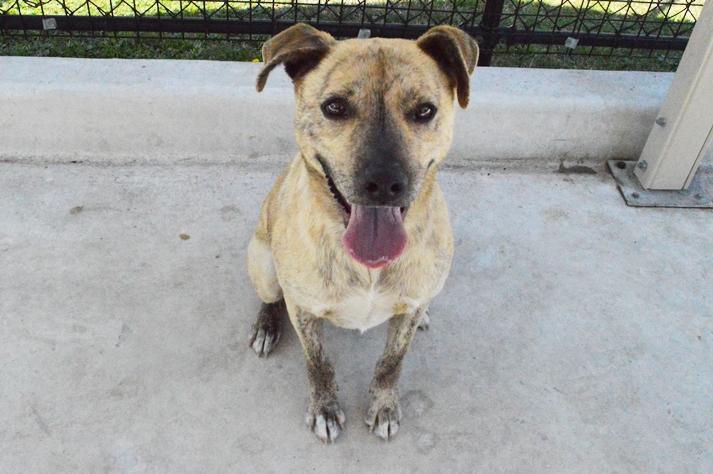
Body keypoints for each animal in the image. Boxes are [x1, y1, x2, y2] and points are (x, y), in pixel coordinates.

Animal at [247, 23, 478, 443]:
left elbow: (392, 361)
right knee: (271, 297)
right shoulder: (303, 309)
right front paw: (323, 408)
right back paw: (265, 325)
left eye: (425, 110)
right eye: (334, 107)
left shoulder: (405, 316)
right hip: (264, 267)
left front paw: (384, 406)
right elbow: (318, 362)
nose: (384, 183)